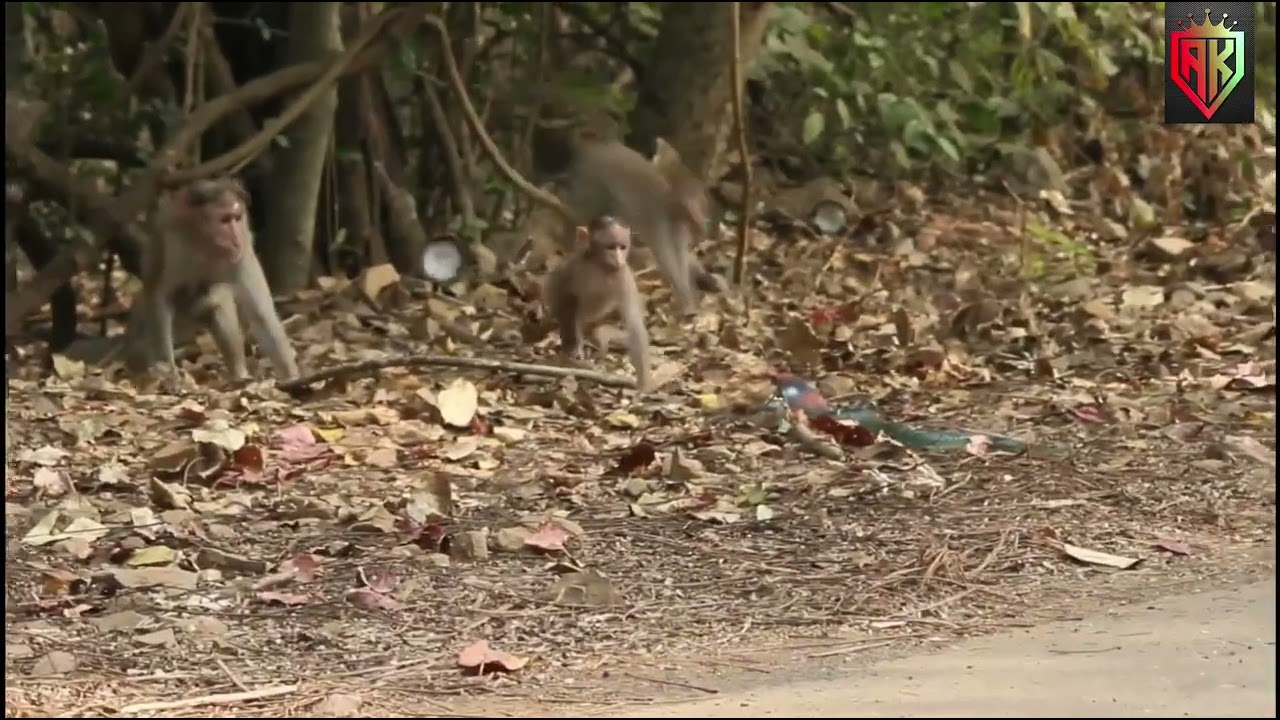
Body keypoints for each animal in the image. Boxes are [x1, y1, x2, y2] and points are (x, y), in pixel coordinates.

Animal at [127, 178, 299, 386]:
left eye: (236, 218)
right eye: (224, 220)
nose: (235, 240)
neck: (204, 242)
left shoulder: (244, 250)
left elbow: (261, 316)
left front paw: (292, 377)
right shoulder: (171, 239)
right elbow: (159, 295)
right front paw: (169, 372)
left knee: (218, 299)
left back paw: (239, 375)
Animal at [543, 216, 653, 392]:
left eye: (622, 247)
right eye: (610, 247)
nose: (618, 259)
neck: (600, 266)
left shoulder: (623, 276)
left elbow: (634, 323)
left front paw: (645, 385)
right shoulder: (574, 266)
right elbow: (565, 296)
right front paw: (574, 348)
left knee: (603, 332)